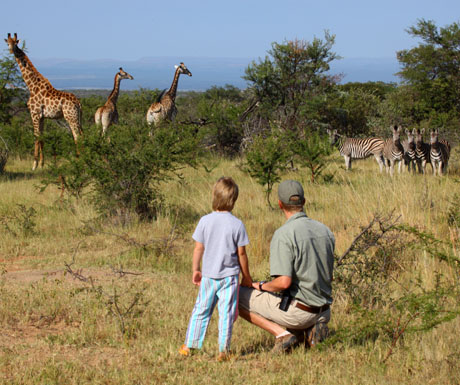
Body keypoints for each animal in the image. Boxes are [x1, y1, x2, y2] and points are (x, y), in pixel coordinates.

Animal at [4, 33, 82, 170]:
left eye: (15, 43)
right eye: (7, 43)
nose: (11, 50)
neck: (31, 85)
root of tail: (78, 103)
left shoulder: (34, 114)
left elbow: (36, 136)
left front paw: (34, 165)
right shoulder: (42, 117)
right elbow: (41, 137)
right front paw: (41, 163)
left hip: (71, 117)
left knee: (76, 136)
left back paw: (79, 161)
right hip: (78, 118)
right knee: (81, 135)